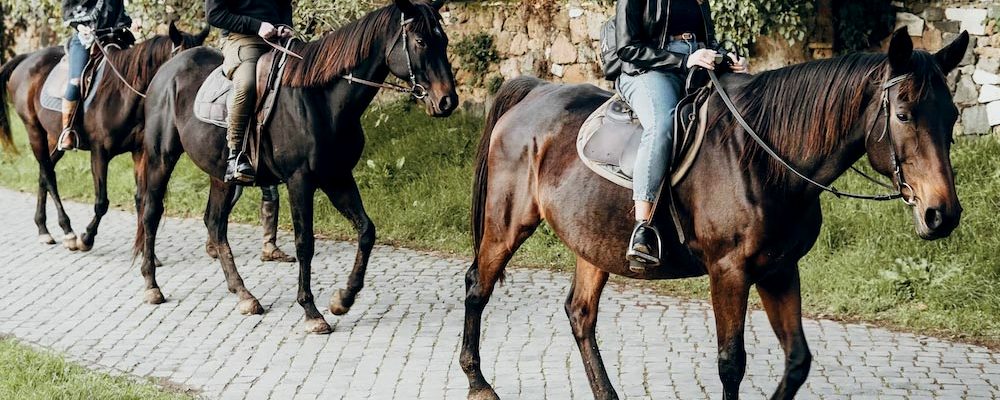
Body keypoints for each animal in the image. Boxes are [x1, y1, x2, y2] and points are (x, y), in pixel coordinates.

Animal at [0, 22, 208, 252]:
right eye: (184, 62)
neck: (123, 93)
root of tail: (27, 59)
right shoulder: (99, 153)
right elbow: (101, 202)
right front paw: (86, 238)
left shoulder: (139, 152)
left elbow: (141, 199)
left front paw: (143, 250)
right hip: (34, 130)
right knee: (49, 175)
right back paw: (67, 231)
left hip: (54, 138)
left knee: (43, 173)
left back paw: (43, 228)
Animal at [134, 0, 457, 334]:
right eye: (420, 42)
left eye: (443, 40)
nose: (448, 101)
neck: (322, 97)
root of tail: (166, 71)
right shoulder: (299, 181)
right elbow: (305, 243)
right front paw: (311, 311)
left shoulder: (337, 177)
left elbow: (366, 230)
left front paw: (343, 299)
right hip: (160, 158)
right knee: (151, 211)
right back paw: (152, 286)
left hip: (220, 176)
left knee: (214, 223)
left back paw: (244, 295)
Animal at [461, 29, 969, 400]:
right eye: (903, 114)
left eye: (953, 116)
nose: (941, 214)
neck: (764, 158)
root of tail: (535, 91)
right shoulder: (729, 271)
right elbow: (731, 364)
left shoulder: (779, 269)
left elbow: (797, 361)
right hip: (507, 224)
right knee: (477, 287)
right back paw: (478, 382)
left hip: (594, 241)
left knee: (580, 313)